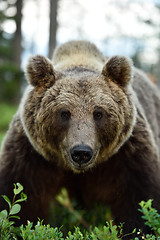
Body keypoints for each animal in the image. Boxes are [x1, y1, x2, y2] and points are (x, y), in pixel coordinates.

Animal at [0, 40, 160, 237]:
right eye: (64, 113)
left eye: (98, 113)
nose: (81, 152)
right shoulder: (29, 156)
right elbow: (19, 199)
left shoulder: (129, 154)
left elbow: (140, 201)